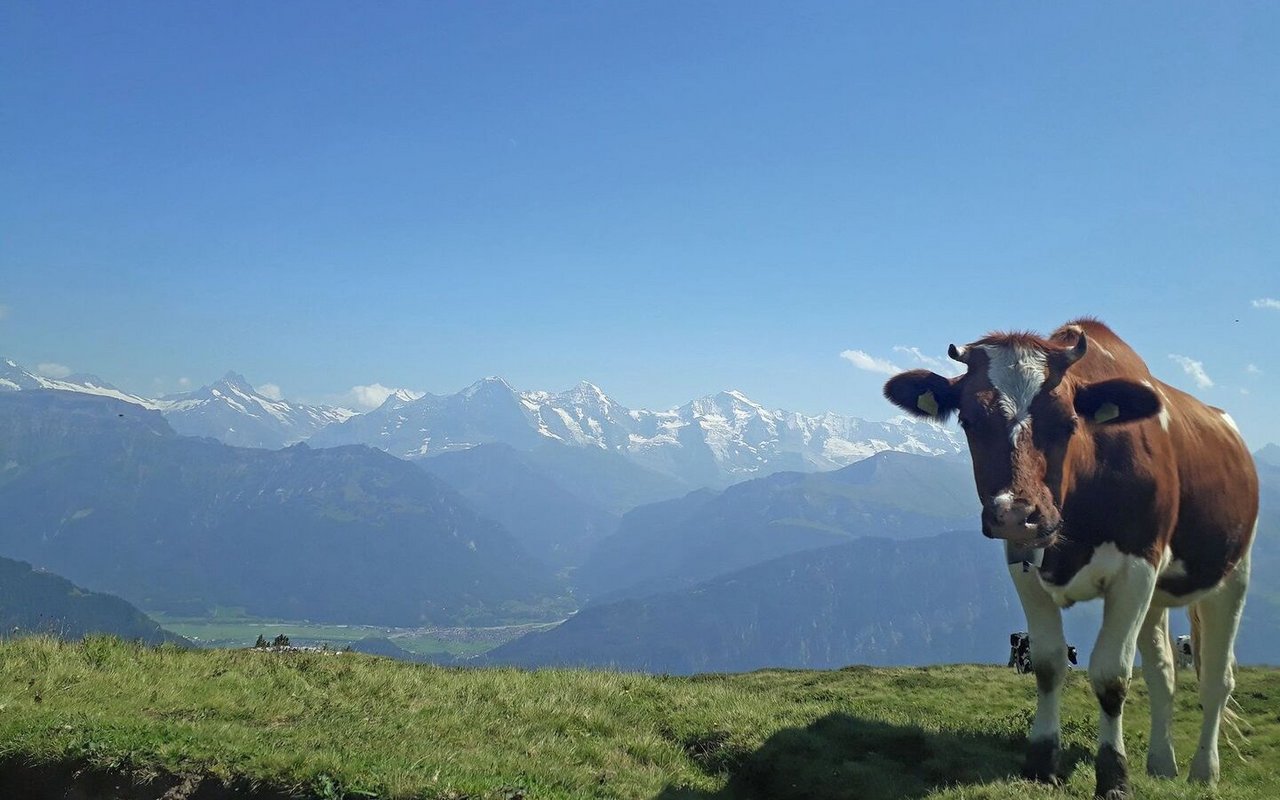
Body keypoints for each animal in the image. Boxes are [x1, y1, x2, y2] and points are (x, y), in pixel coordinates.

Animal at [885, 320, 1254, 798]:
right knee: (1164, 675)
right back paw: (1161, 765)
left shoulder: (1136, 569)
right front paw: (1042, 761)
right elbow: (1047, 664)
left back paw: (1204, 771)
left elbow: (1111, 676)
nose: (1015, 514)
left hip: (1233, 574)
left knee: (1217, 679)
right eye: (968, 420)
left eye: (1067, 422)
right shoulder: (1024, 564)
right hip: (1156, 597)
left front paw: (1114, 776)